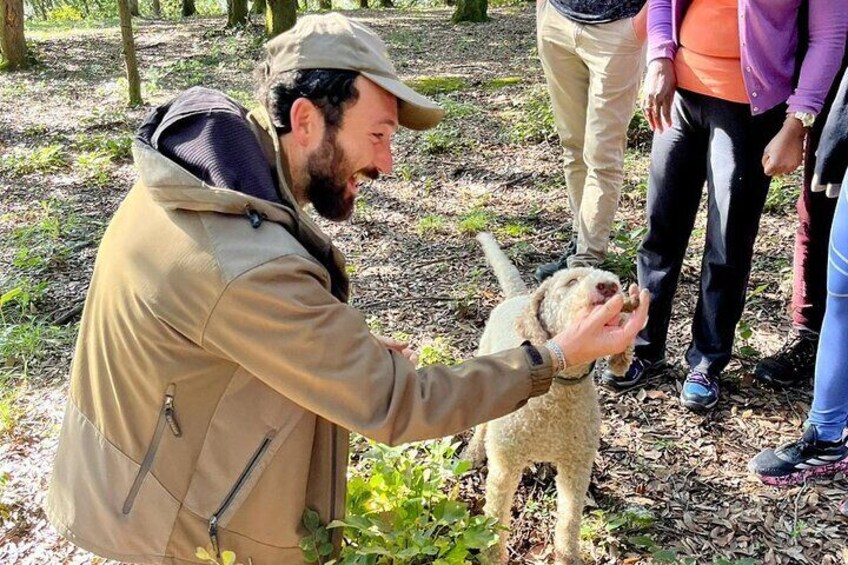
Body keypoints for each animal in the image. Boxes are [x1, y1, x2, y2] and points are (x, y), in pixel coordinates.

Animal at [464, 231, 636, 560]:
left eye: (616, 283)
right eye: (571, 282)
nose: (608, 287)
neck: (559, 393)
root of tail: (518, 297)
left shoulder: (577, 466)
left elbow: (569, 520)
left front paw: (568, 557)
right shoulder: (504, 467)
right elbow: (497, 518)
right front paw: (493, 557)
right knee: (481, 424)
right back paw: (473, 451)